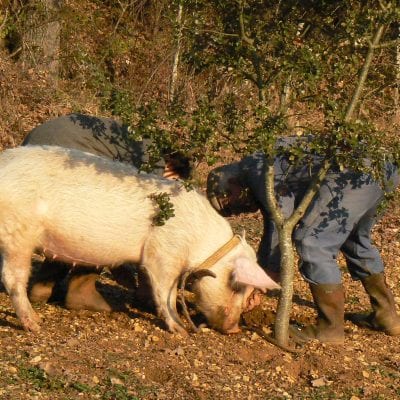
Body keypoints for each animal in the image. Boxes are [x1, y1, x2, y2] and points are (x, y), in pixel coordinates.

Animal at [0, 147, 278, 334]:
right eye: (236, 285)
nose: (234, 329)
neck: (201, 243)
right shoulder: (164, 253)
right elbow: (166, 291)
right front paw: (181, 331)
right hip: (18, 234)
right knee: (13, 278)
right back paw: (36, 324)